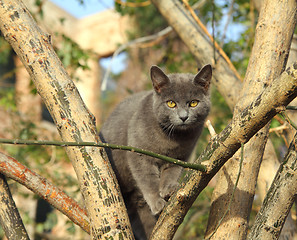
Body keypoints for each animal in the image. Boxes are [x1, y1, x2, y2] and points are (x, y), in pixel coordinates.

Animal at [100, 64, 212, 239]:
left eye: (194, 103)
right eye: (171, 103)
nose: (183, 117)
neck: (172, 139)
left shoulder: (180, 157)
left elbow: (172, 172)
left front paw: (168, 189)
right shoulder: (139, 155)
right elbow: (148, 180)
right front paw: (157, 202)